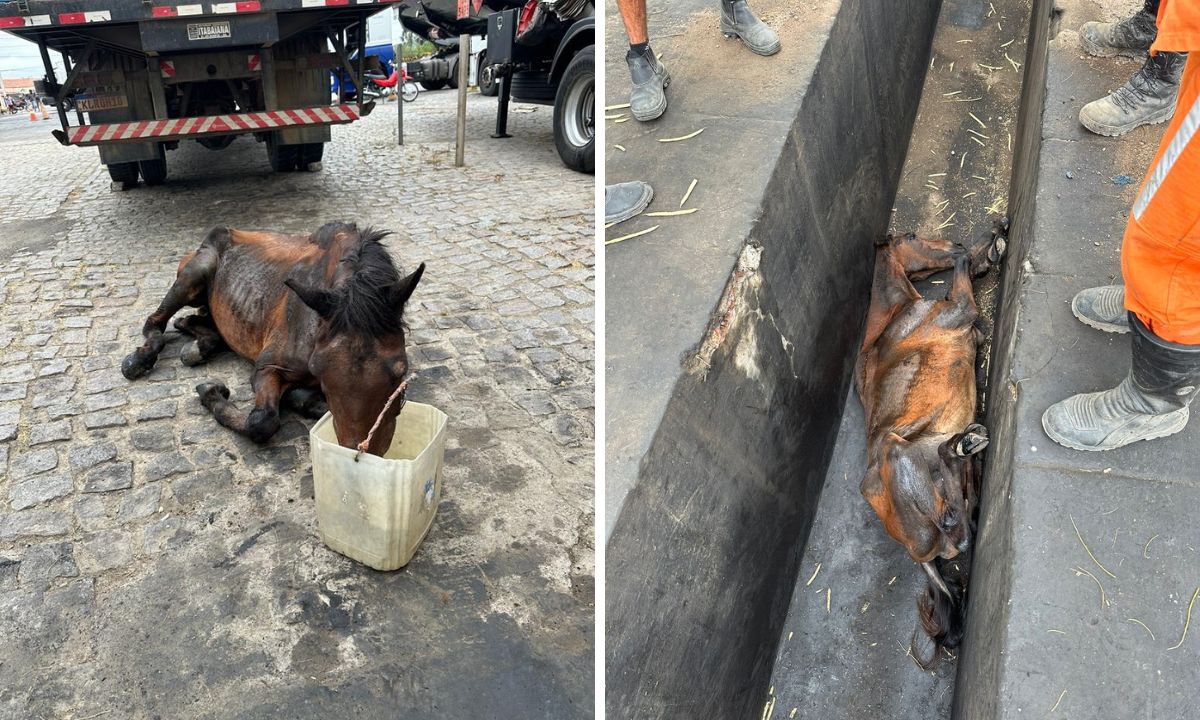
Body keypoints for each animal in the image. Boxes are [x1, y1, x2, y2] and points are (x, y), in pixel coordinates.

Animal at [124, 219, 424, 456]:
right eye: (322, 371)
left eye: (401, 372)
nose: (360, 451)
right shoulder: (267, 366)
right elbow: (262, 422)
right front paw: (212, 394)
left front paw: (301, 398)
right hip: (193, 275)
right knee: (156, 322)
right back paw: (140, 359)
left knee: (194, 323)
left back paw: (197, 343)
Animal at [859, 220, 1008, 667]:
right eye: (910, 236)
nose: (954, 241)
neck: (893, 317)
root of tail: (916, 549)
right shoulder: (960, 310)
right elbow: (961, 277)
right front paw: (981, 249)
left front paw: (990, 245)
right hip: (899, 449)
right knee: (958, 518)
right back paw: (968, 442)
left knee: (966, 515)